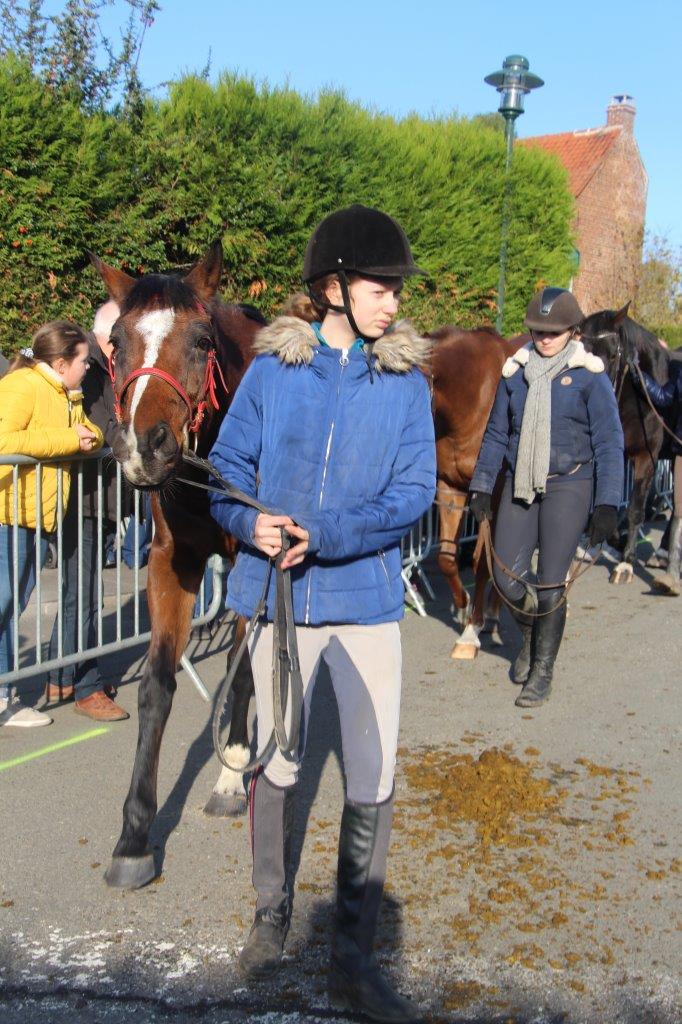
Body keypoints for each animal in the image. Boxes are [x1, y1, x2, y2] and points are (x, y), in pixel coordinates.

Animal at [89, 239, 260, 888]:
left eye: (202, 341)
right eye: (116, 342)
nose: (144, 445)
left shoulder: (256, 556)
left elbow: (241, 667)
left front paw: (232, 772)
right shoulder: (172, 563)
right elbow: (156, 686)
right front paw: (135, 835)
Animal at [430, 329, 520, 663]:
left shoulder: (491, 495)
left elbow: (482, 561)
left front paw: (471, 631)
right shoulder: (449, 485)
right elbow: (446, 557)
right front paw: (463, 604)